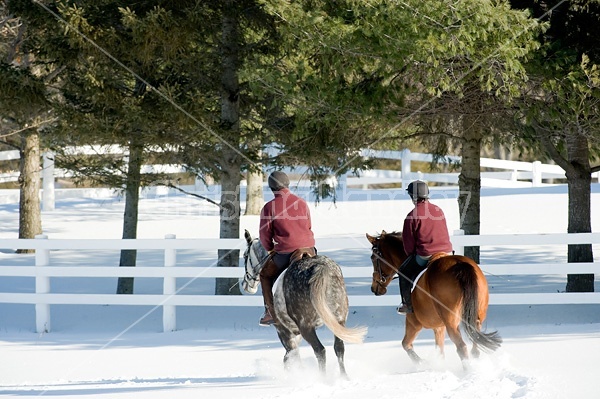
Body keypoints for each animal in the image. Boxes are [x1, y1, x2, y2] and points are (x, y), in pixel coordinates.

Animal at [243, 230, 366, 376]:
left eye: (245, 256)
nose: (246, 285)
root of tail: (320, 267)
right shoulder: (296, 332)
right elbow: (290, 357)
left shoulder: (283, 330)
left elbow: (292, 356)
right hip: (339, 320)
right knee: (339, 348)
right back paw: (344, 378)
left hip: (306, 326)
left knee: (320, 350)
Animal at [366, 230, 502, 368]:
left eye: (373, 258)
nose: (373, 288)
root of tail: (460, 265)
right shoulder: (439, 327)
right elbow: (440, 351)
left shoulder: (413, 322)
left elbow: (406, 344)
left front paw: (422, 363)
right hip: (476, 317)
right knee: (475, 345)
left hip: (451, 323)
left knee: (461, 347)